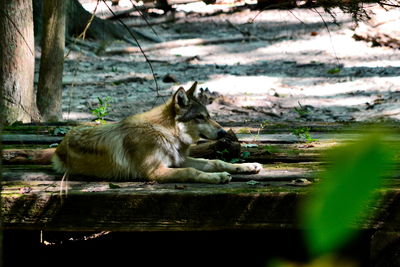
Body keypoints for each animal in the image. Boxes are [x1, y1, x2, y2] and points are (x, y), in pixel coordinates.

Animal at [53, 82, 264, 184]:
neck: (166, 132)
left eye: (209, 116)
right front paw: (217, 177)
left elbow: (217, 162)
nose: (222, 133)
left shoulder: (178, 160)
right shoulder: (155, 171)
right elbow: (191, 171)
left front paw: (246, 166)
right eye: (200, 117)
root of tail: (59, 148)